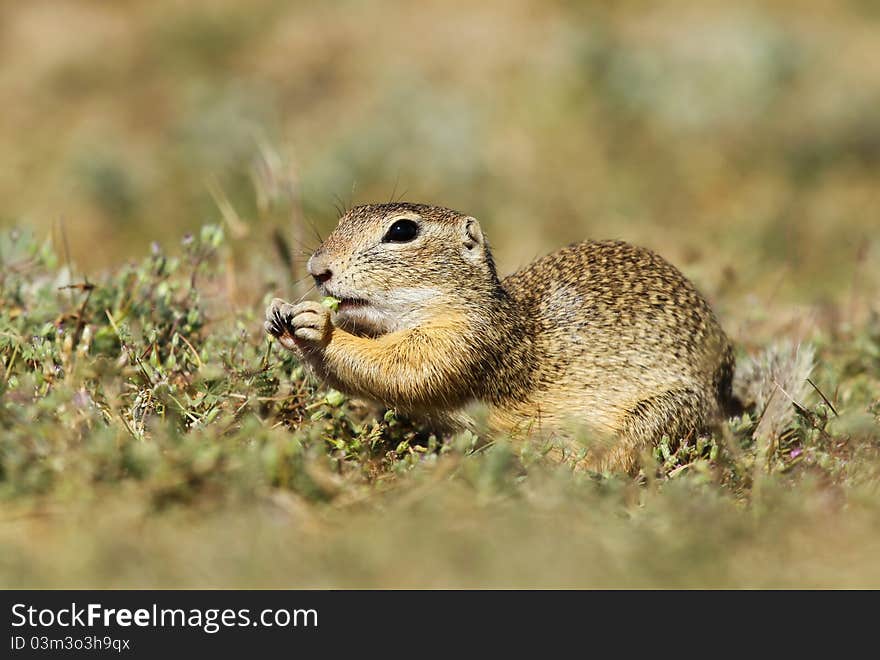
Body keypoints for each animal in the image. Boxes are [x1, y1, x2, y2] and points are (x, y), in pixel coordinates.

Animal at [266, 200, 736, 470]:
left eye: (402, 231)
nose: (317, 268)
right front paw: (279, 317)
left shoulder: (464, 342)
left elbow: (401, 370)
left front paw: (319, 328)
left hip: (661, 414)